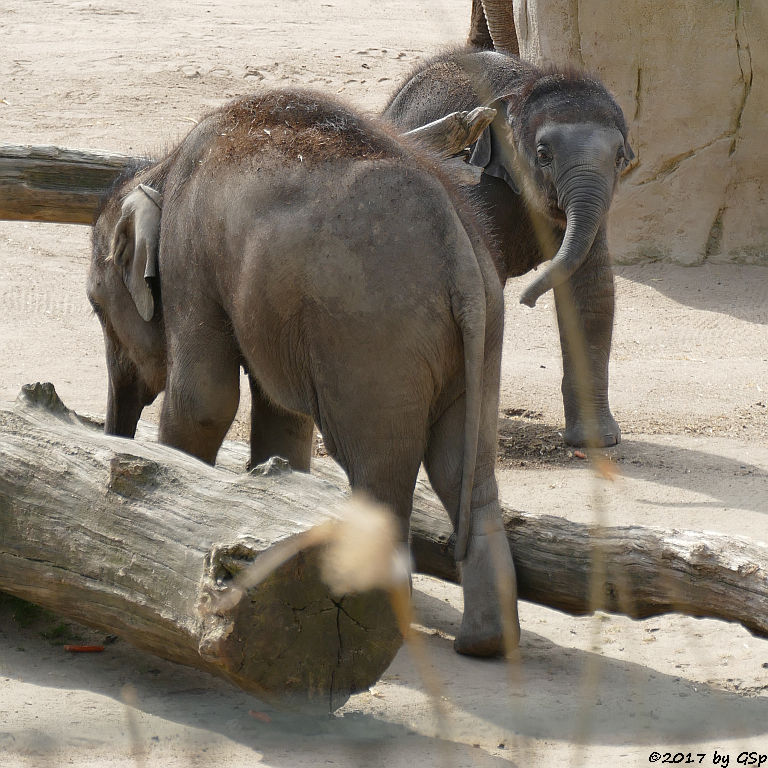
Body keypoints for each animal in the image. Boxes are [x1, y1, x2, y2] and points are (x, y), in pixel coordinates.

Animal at [88, 88, 520, 656]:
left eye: (95, 307)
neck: (164, 167)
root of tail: (458, 247)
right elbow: (281, 419)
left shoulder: (189, 256)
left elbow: (205, 402)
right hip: (482, 331)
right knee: (465, 471)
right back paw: (484, 643)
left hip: (374, 334)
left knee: (379, 471)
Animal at [382, 51, 632, 448]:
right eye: (543, 155)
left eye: (620, 157)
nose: (527, 300)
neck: (523, 88)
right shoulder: (476, 181)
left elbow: (591, 290)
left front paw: (596, 442)